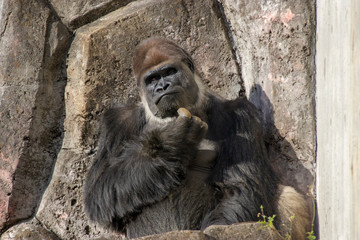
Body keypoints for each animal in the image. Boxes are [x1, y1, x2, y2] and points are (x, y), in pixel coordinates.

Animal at [83, 36, 310, 239]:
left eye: (169, 72)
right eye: (152, 79)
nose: (162, 87)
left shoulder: (240, 113)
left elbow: (238, 187)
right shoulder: (117, 123)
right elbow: (100, 190)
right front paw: (172, 141)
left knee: (287, 195)